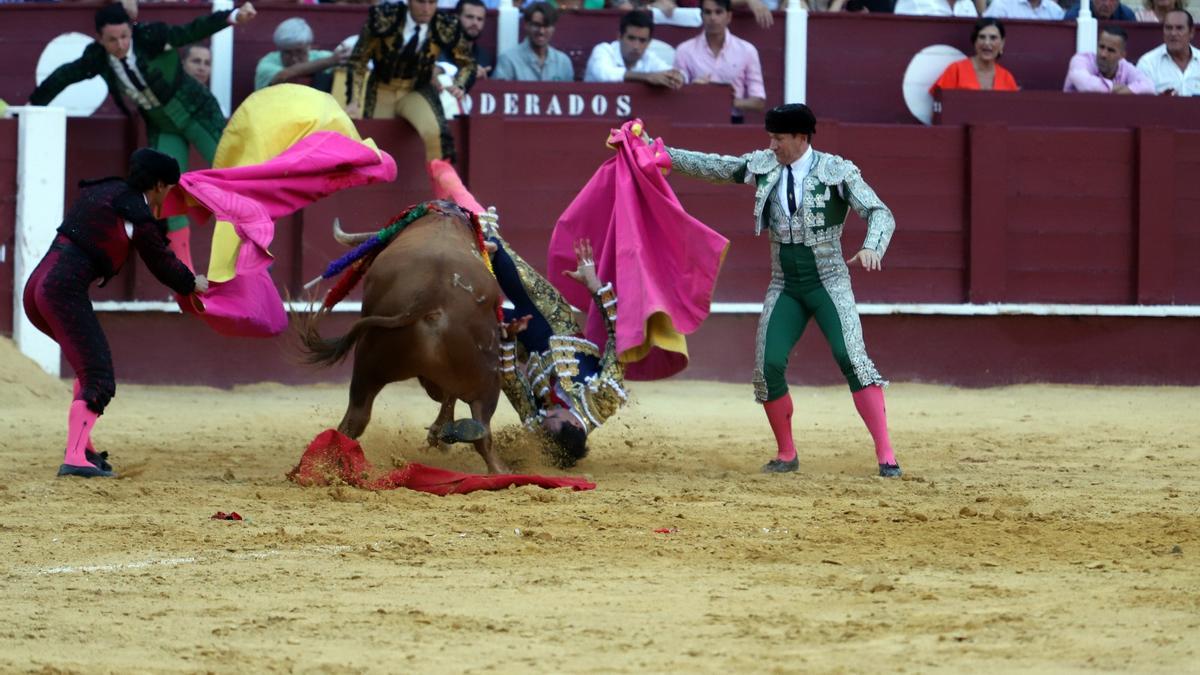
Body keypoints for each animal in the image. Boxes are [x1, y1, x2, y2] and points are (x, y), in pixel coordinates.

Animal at [300, 201, 511, 470]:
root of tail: (432, 292)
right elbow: (449, 397)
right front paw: (439, 435)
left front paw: (439, 435)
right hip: (487, 379)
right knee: (482, 433)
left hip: (369, 363)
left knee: (355, 418)